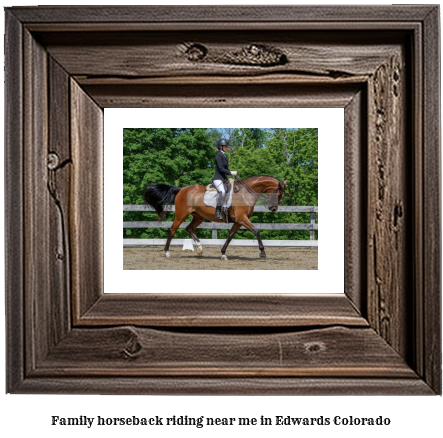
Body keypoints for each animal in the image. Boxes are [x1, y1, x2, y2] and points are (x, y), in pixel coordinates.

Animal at [142, 175, 288, 260]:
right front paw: (263, 253)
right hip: (181, 215)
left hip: (199, 217)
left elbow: (230, 236)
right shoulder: (242, 218)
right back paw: (167, 253)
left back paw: (199, 249)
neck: (246, 192)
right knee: (172, 230)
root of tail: (181, 189)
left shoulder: (239, 221)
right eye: (278, 194)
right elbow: (257, 231)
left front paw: (223, 253)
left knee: (189, 229)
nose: (273, 209)